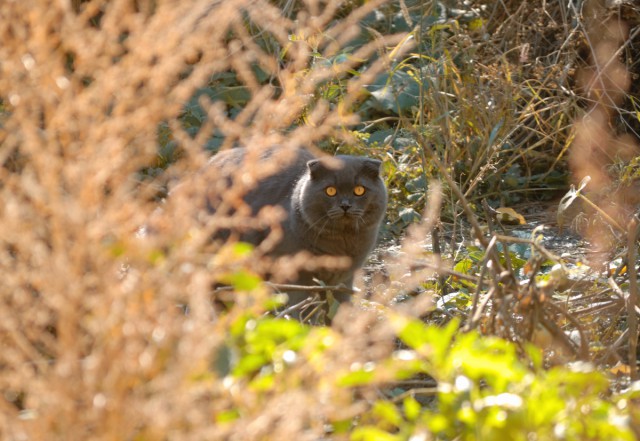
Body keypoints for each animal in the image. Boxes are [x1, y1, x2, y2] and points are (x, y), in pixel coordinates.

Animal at [208, 147, 388, 312]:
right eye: (330, 190)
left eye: (359, 190)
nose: (345, 205)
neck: (340, 245)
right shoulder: (296, 277)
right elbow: (298, 308)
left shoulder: (343, 279)